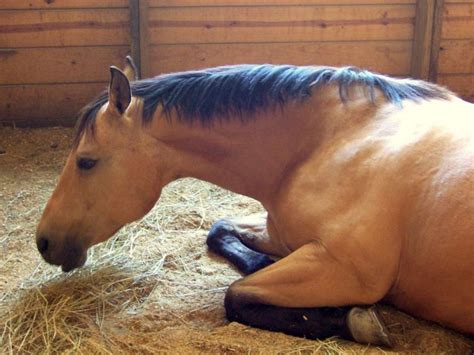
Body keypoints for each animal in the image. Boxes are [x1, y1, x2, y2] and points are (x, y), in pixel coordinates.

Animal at [36, 58, 474, 348]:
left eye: (86, 161)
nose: (43, 242)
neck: (332, 139)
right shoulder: (282, 234)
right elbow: (219, 231)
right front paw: (262, 262)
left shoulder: (348, 270)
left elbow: (235, 297)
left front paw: (357, 321)